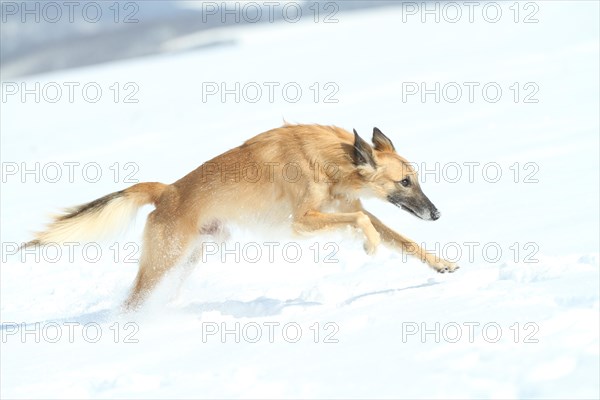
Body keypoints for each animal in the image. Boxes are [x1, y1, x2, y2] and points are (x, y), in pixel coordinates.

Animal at [21, 125, 458, 310]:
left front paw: (441, 264)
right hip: (164, 260)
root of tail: (167, 190)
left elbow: (404, 240)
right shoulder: (303, 222)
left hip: (189, 258)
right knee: (132, 301)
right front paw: (369, 246)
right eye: (404, 181)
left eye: (416, 179)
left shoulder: (346, 208)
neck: (331, 160)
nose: (437, 213)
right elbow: (366, 227)